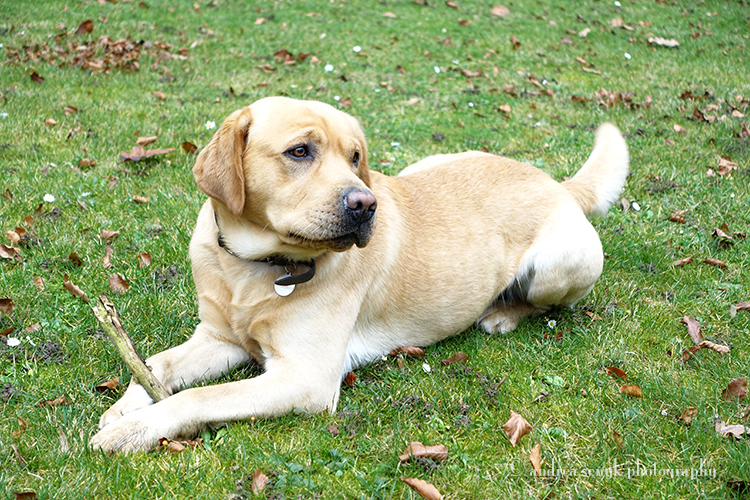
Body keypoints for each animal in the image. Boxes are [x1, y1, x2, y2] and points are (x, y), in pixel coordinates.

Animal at [90, 96, 628, 452]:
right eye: (300, 151)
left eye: (355, 157)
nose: (365, 204)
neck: (255, 266)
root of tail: (557, 183)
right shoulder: (219, 338)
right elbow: (158, 364)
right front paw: (128, 405)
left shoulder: (304, 379)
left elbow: (199, 397)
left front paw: (134, 429)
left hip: (563, 262)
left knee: (546, 302)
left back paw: (503, 313)